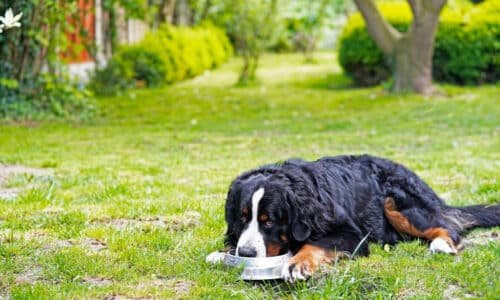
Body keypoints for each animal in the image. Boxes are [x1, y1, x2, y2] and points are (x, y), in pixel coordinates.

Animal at [212, 154, 500, 282]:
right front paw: (223, 253)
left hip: (396, 202)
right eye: (242, 218)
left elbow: (314, 244)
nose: (246, 254)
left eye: (269, 221)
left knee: (447, 226)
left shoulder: (351, 234)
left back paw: (441, 243)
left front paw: (298, 264)